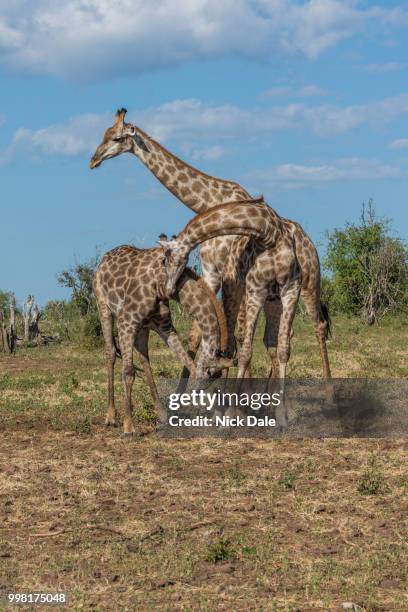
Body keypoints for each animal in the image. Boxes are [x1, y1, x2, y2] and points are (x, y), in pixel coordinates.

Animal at [93, 244, 231, 436]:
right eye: (213, 375)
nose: (220, 417)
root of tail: (104, 259)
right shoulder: (126, 321)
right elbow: (128, 372)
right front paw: (129, 427)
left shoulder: (165, 327)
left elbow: (188, 362)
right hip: (103, 307)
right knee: (111, 352)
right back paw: (111, 417)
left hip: (143, 329)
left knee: (145, 361)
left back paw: (162, 416)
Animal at [158, 200, 302, 382]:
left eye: (165, 260)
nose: (169, 289)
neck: (269, 233)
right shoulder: (256, 289)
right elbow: (246, 353)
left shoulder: (291, 288)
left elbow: (283, 351)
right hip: (232, 291)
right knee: (230, 343)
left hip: (270, 298)